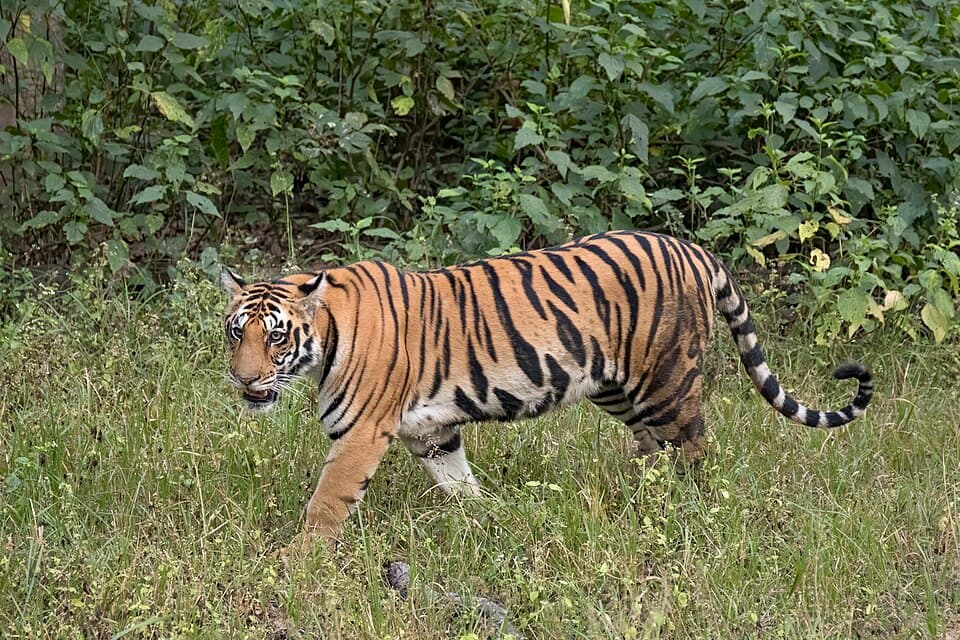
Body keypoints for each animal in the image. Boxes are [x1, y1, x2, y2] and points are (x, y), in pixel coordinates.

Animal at [220, 230, 872, 548]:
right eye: (235, 332)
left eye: (276, 336)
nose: (244, 379)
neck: (325, 338)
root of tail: (692, 248)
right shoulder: (432, 432)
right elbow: (459, 482)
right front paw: (488, 517)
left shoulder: (360, 434)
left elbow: (327, 502)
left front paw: (298, 561)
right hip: (616, 386)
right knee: (651, 446)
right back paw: (633, 495)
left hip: (667, 380)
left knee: (693, 447)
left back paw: (687, 509)